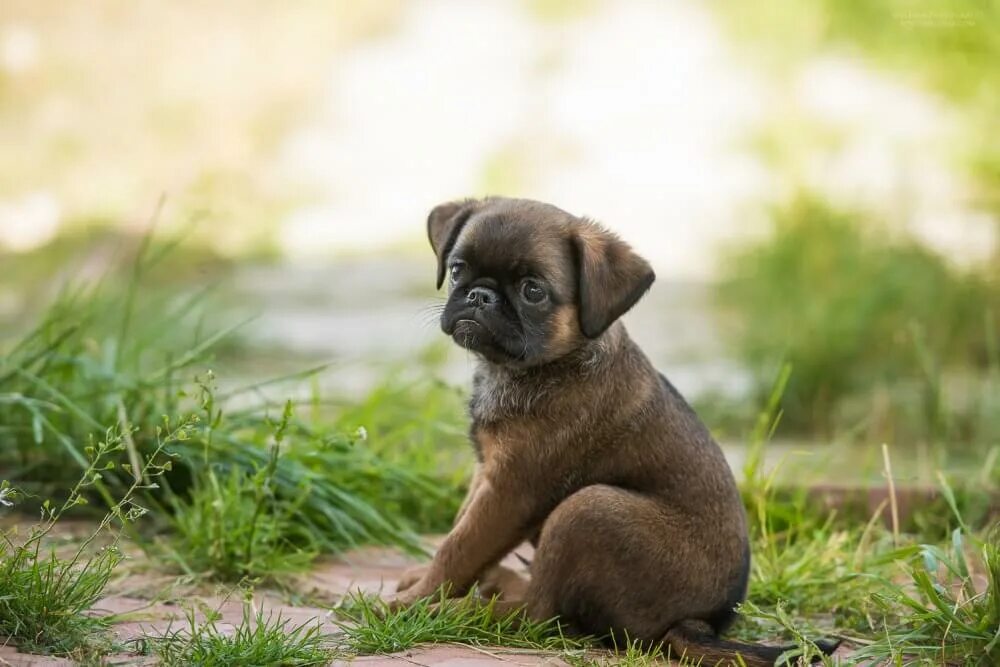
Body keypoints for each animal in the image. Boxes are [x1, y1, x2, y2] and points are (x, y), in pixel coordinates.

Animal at [390, 198, 836, 667]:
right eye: (457, 269)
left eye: (533, 291)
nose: (480, 295)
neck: (538, 366)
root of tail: (700, 624)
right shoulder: (486, 473)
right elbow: (460, 527)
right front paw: (427, 583)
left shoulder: (510, 490)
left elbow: (458, 547)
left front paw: (417, 600)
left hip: (587, 507)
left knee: (539, 611)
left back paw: (464, 609)